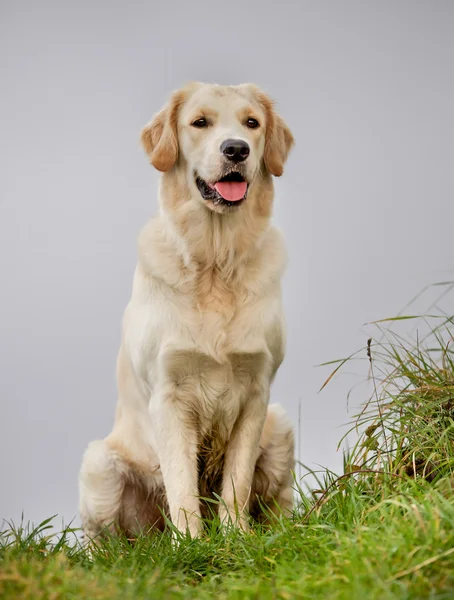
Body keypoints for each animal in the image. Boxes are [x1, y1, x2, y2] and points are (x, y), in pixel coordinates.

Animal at [79, 81, 294, 540]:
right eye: (200, 122)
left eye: (252, 123)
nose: (236, 149)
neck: (215, 264)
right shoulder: (170, 395)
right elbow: (181, 484)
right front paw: (192, 544)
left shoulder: (257, 391)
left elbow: (236, 481)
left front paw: (235, 539)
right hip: (98, 464)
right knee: (106, 545)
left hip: (281, 426)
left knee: (281, 506)